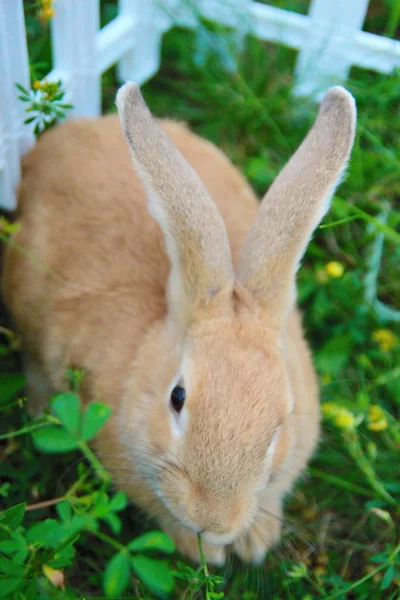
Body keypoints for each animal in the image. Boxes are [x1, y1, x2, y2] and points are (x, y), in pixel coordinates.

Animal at [0, 82, 356, 564]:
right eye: (178, 397)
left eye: (283, 418)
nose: (212, 521)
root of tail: (61, 137)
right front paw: (203, 549)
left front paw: (255, 542)